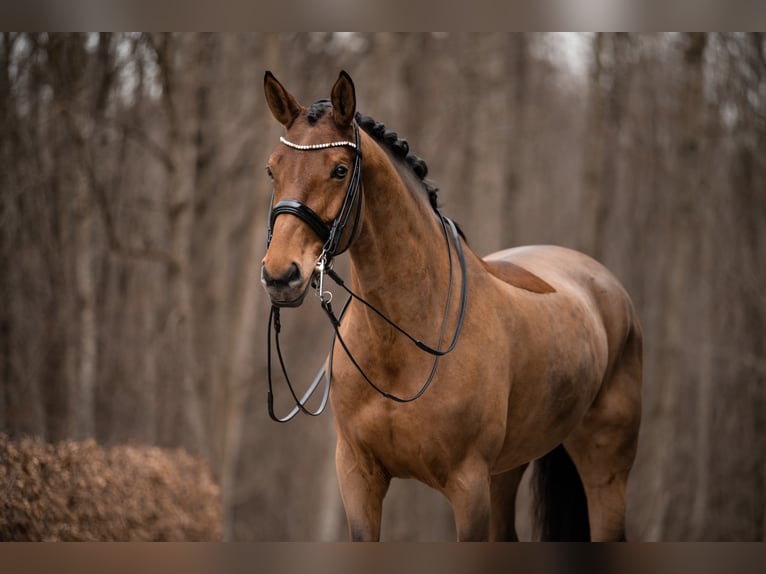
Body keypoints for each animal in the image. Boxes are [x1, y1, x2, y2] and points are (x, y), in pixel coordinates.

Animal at [260, 70, 644, 544]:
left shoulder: (468, 487)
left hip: (605, 470)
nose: (281, 275)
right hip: (507, 471)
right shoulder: (358, 476)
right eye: (272, 168)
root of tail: (603, 283)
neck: (402, 343)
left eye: (339, 170)